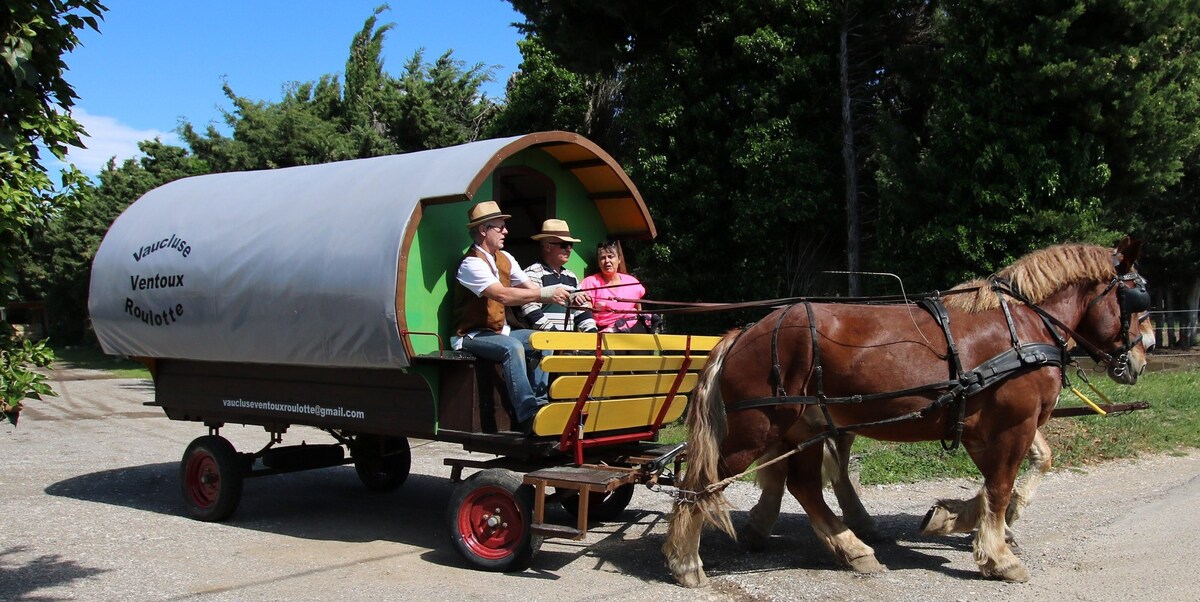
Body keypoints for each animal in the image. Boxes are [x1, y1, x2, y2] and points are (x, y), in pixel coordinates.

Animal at [667, 239, 1152, 587]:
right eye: (1137, 301)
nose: (1143, 355)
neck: (1024, 326)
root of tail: (745, 332)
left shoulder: (996, 426)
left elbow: (1011, 478)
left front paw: (955, 519)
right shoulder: (1011, 425)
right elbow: (999, 488)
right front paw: (997, 555)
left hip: (804, 427)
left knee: (804, 487)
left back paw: (852, 548)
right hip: (753, 431)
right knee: (699, 483)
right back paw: (685, 562)